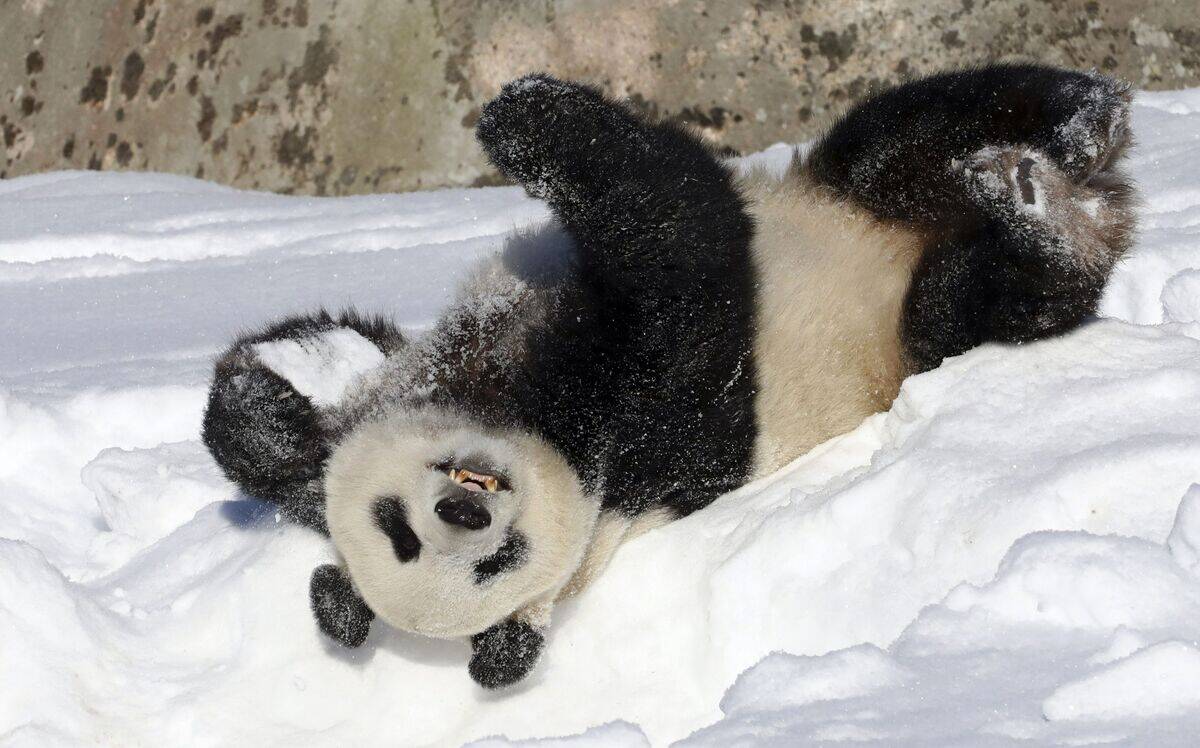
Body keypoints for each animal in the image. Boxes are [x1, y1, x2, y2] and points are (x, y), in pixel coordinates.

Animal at [202, 64, 1136, 689]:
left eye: (396, 527)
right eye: (492, 565)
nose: (465, 511)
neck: (516, 404)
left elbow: (284, 421)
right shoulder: (655, 433)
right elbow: (681, 243)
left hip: (854, 193)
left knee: (915, 127)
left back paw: (1077, 126)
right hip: (920, 328)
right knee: (989, 297)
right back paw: (1044, 216)